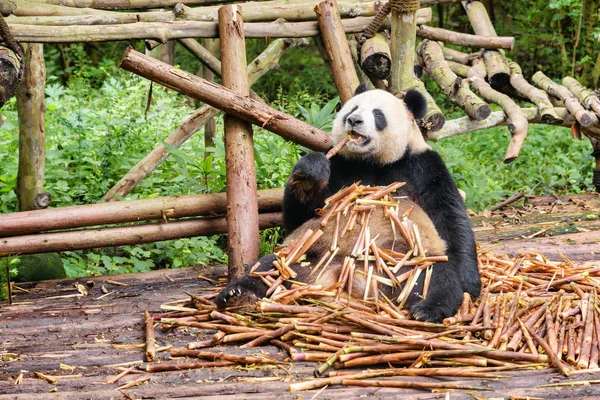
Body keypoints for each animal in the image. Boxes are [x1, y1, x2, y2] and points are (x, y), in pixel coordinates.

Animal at [218, 86, 480, 324]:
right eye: (352, 108)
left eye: (377, 114)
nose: (354, 120)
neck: (372, 161)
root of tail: (351, 280)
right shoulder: (342, 166)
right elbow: (300, 217)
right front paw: (310, 174)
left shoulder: (422, 166)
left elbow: (450, 216)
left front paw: (470, 282)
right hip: (309, 256)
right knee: (272, 265)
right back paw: (237, 293)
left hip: (406, 264)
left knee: (436, 276)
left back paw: (428, 309)